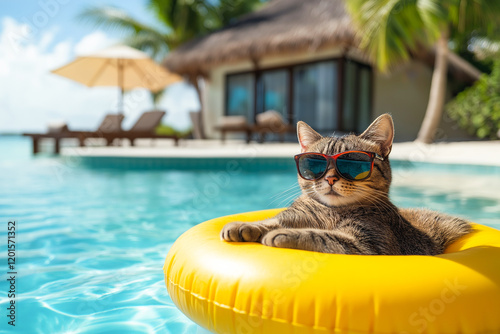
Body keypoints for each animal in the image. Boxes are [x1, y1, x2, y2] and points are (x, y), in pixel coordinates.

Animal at [221, 113, 470, 254]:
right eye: (315, 163)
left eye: (353, 163)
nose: (330, 178)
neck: (331, 212)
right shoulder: (293, 216)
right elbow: (270, 221)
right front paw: (243, 225)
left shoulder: (368, 244)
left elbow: (319, 235)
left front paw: (284, 234)